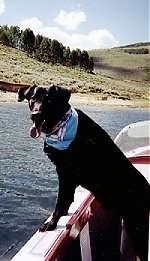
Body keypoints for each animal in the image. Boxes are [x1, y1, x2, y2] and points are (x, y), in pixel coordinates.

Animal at [17, 85, 149, 260]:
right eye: (32, 99)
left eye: (49, 100)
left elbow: (60, 202)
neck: (61, 124)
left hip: (137, 227)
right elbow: (65, 200)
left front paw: (51, 224)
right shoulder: (67, 176)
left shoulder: (65, 173)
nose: (35, 115)